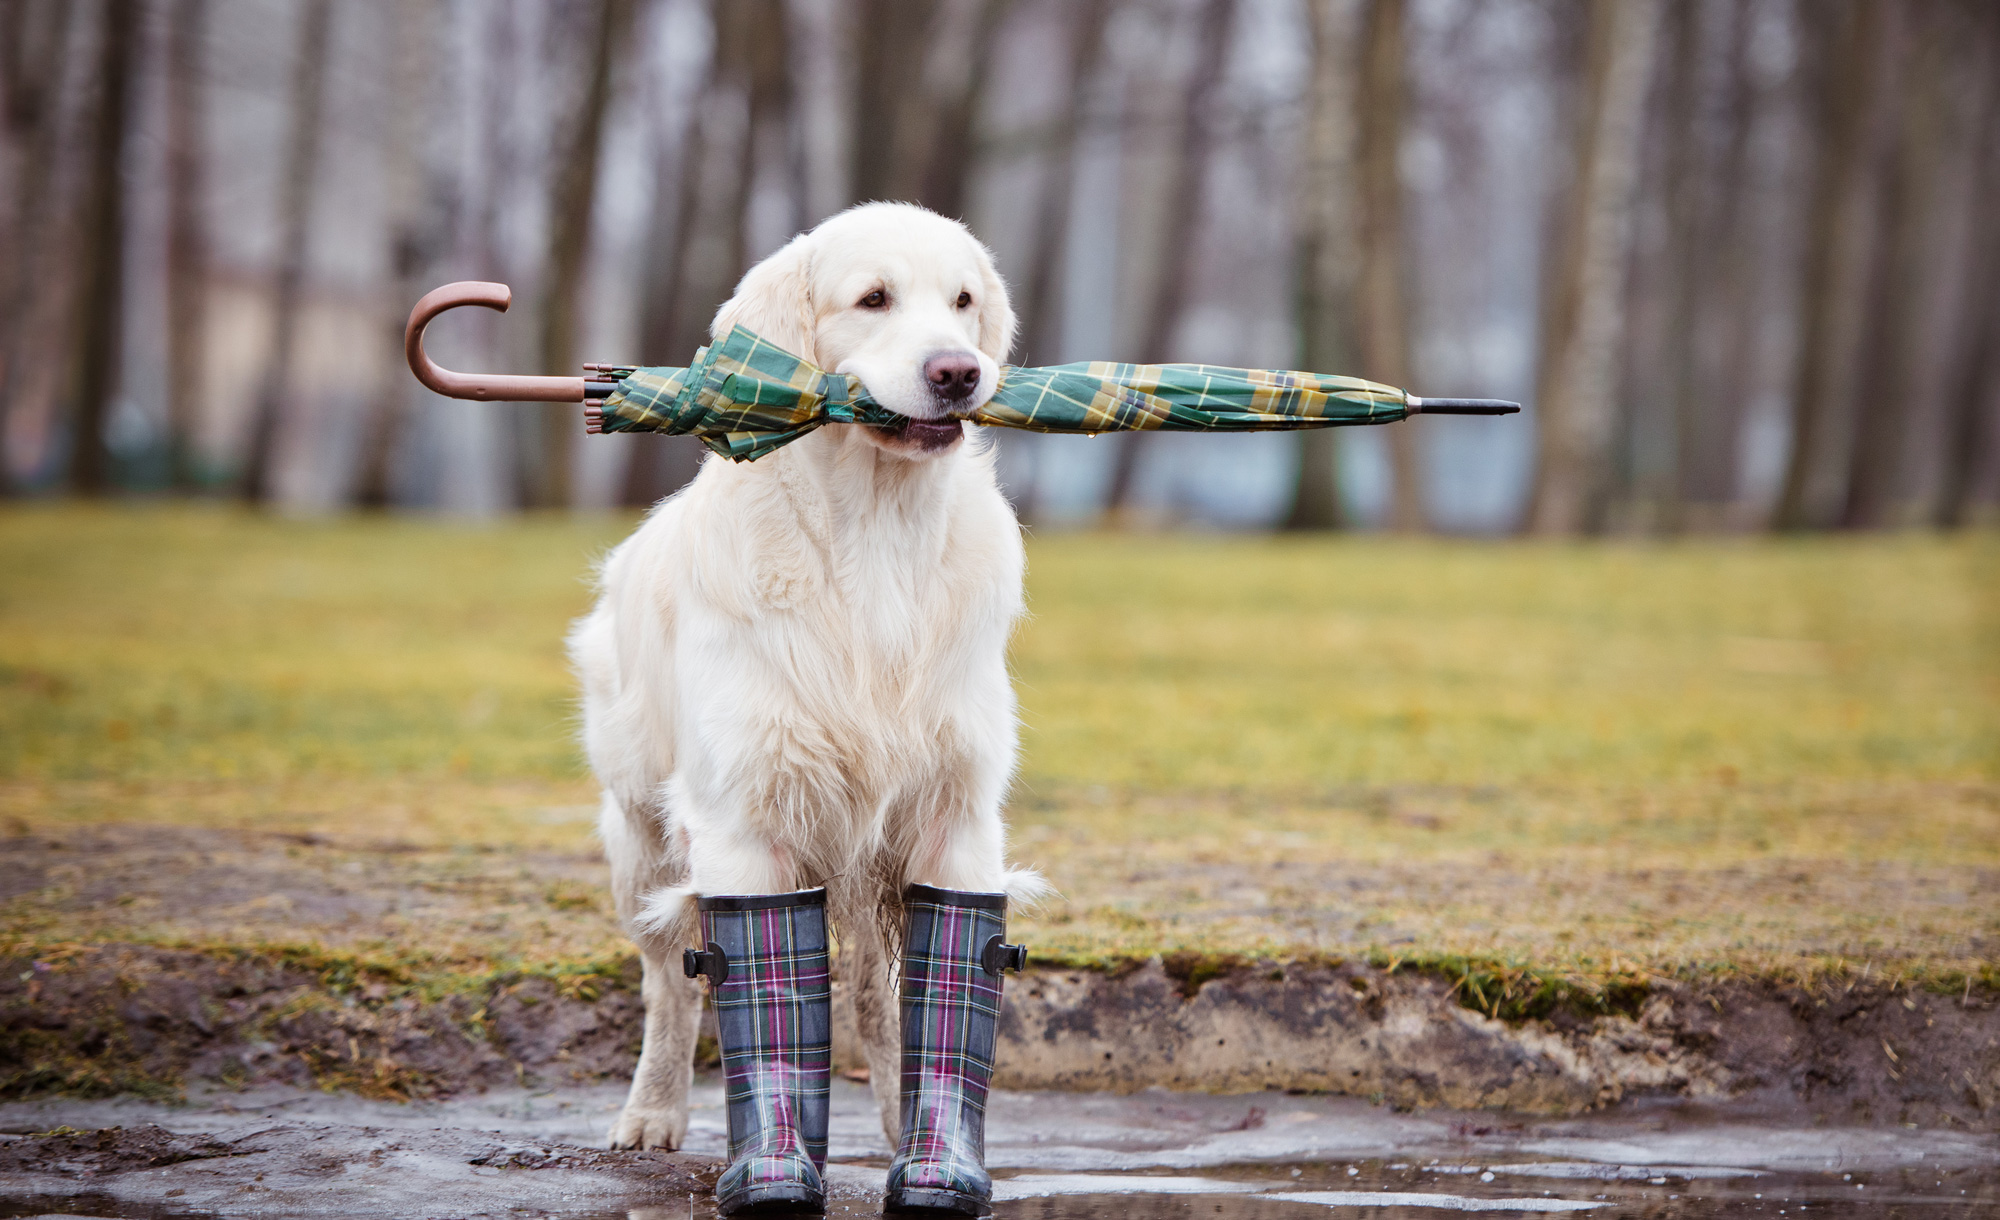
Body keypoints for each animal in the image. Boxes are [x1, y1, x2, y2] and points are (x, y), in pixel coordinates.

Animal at [568, 202, 1048, 1152]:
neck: (878, 533)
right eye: (873, 299)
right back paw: (653, 1111)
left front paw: (931, 1144)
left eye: (963, 301)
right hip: (639, 836)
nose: (959, 372)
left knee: (872, 993)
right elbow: (740, 989)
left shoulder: (955, 813)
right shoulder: (745, 820)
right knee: (669, 983)